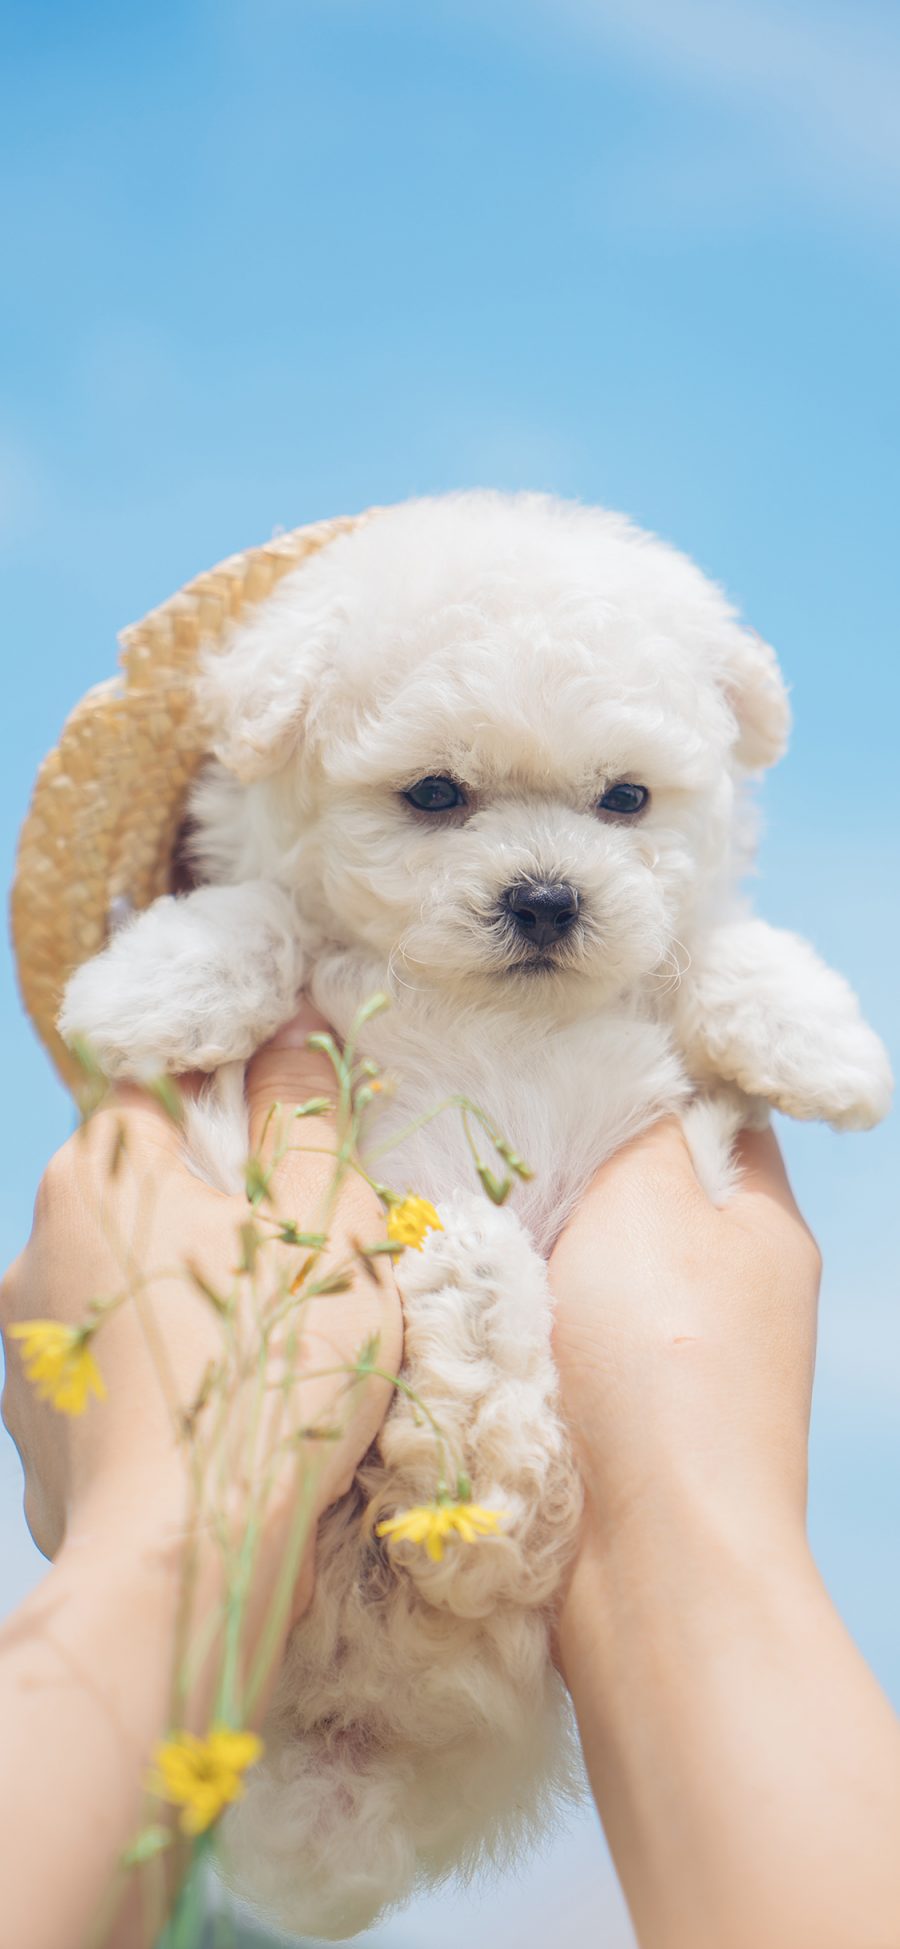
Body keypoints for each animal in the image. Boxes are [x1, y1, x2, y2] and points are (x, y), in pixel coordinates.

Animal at [59, 495, 888, 1941]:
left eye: (627, 799)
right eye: (435, 795)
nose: (548, 897)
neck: (501, 1002)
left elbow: (702, 941)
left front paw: (820, 1035)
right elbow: (261, 906)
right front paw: (157, 985)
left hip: (507, 1566)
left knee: (502, 1526)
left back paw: (477, 1354)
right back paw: (470, 1324)